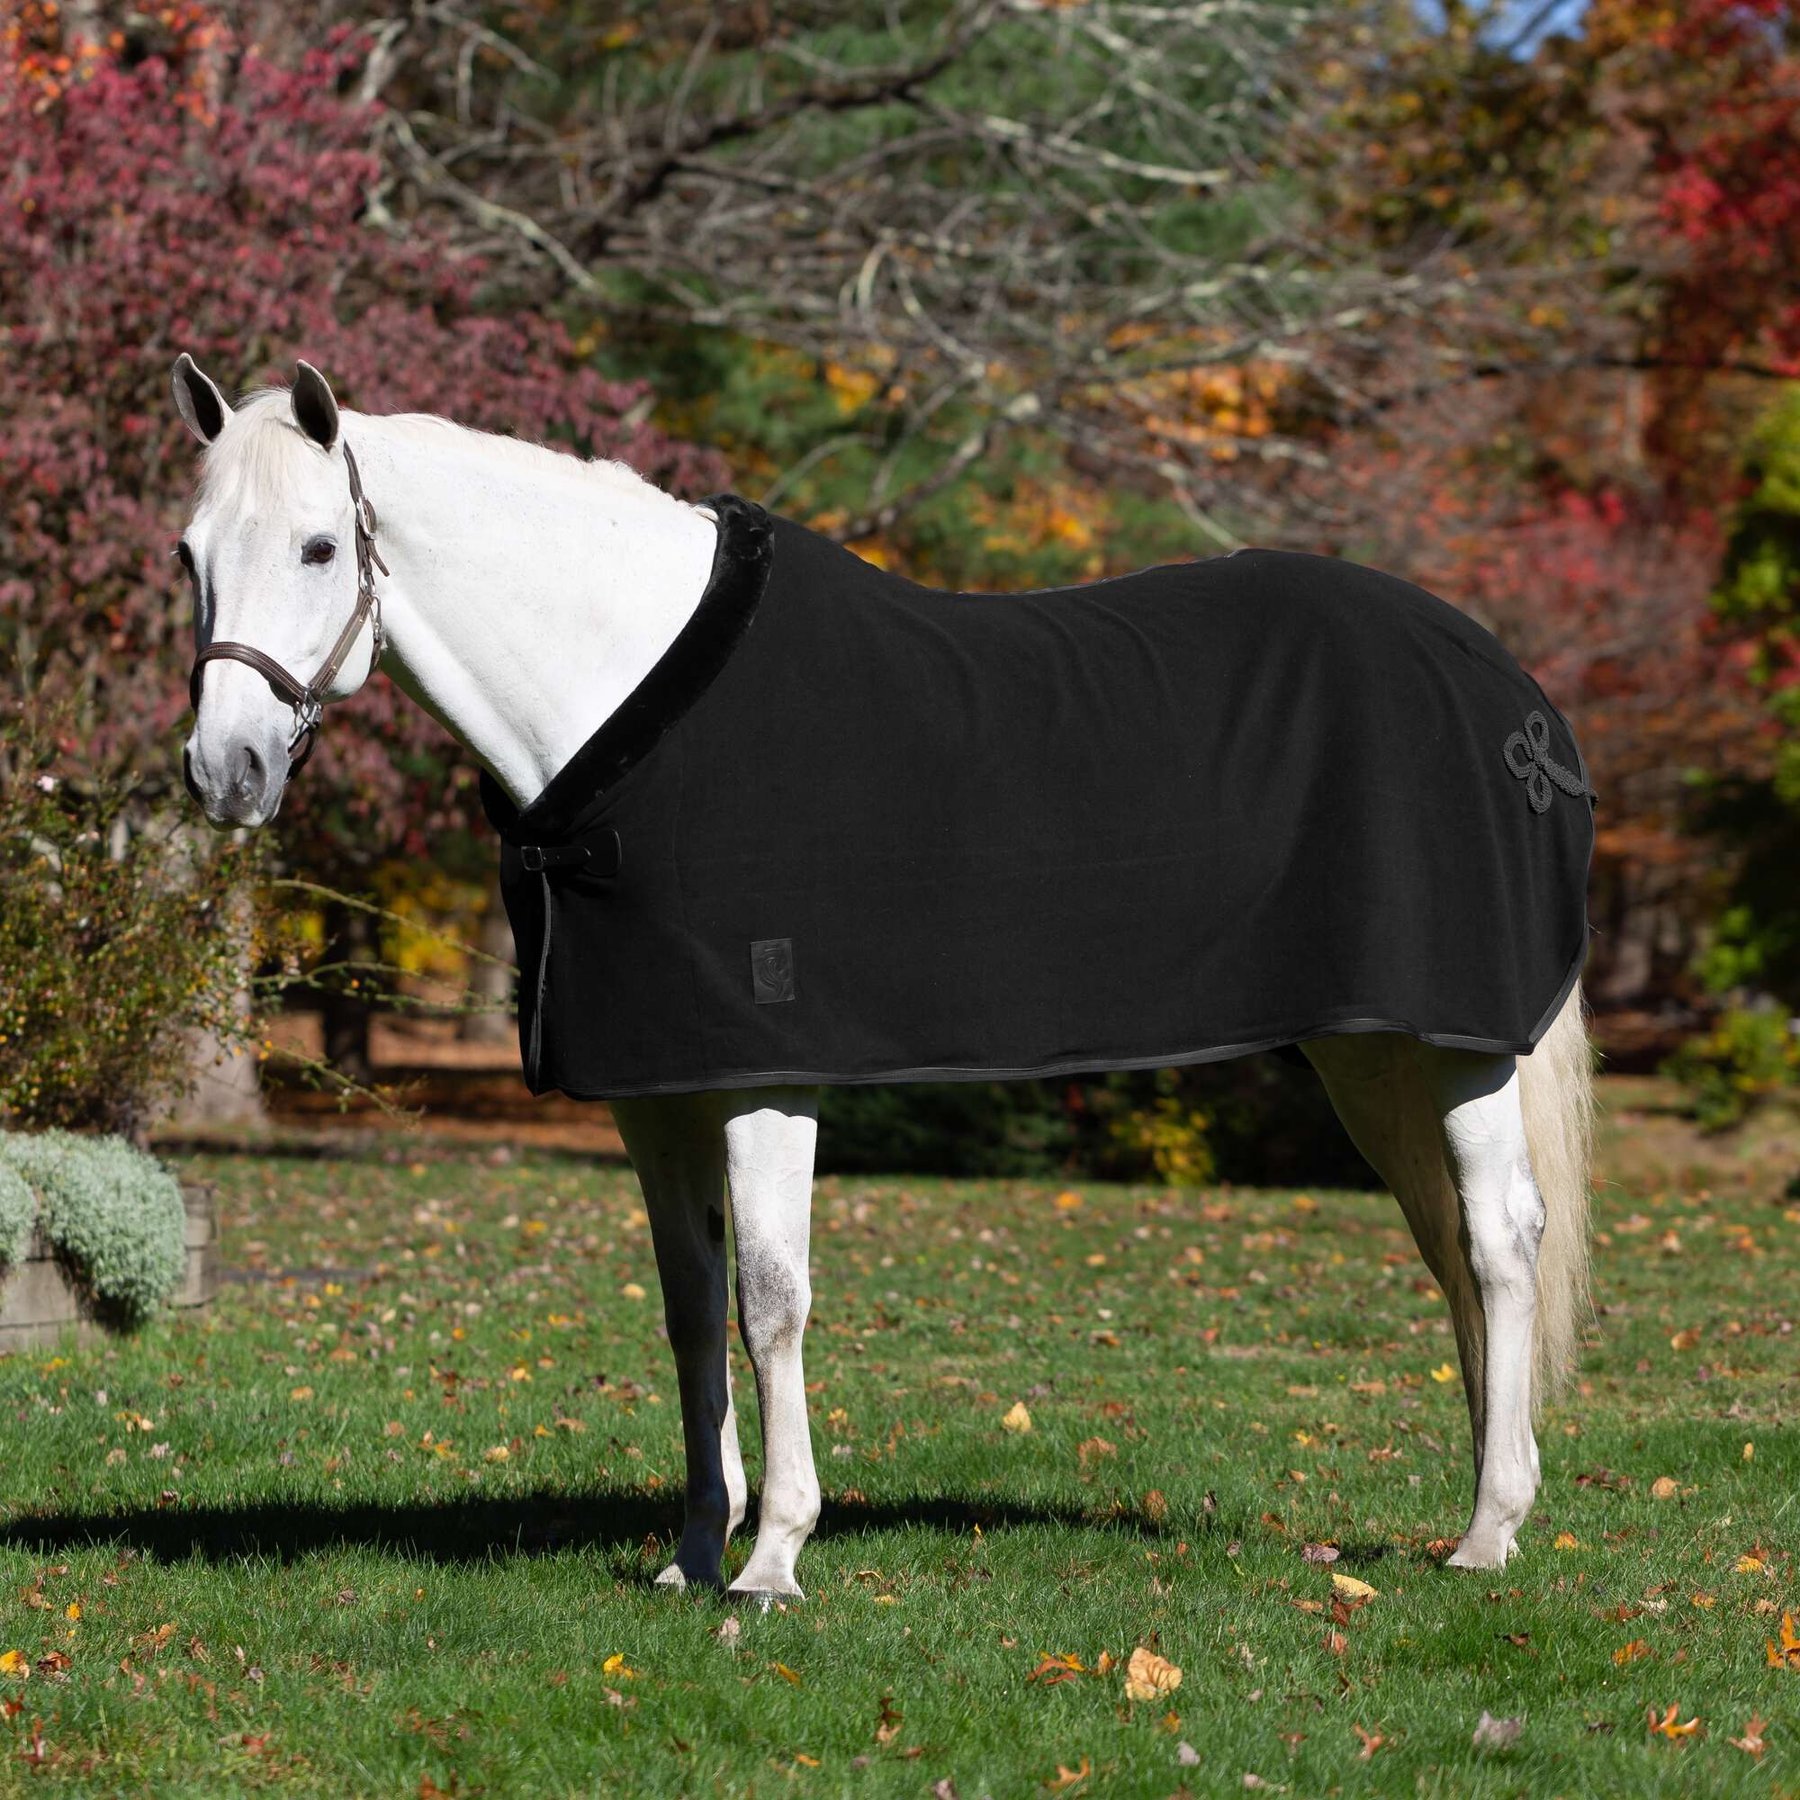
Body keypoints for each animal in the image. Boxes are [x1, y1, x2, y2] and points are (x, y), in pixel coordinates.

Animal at [172, 355, 1593, 1604]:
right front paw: (693, 1551)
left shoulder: (767, 1078)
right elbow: (690, 1310)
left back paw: (1487, 1534)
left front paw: (774, 1560)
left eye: (318, 548)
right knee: (1450, 1247)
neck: (626, 709)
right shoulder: (656, 1091)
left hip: (1460, 1044)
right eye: (190, 557)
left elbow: (771, 1303)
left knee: (1498, 1242)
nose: (224, 771)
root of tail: (1509, 690)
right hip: (1375, 1047)